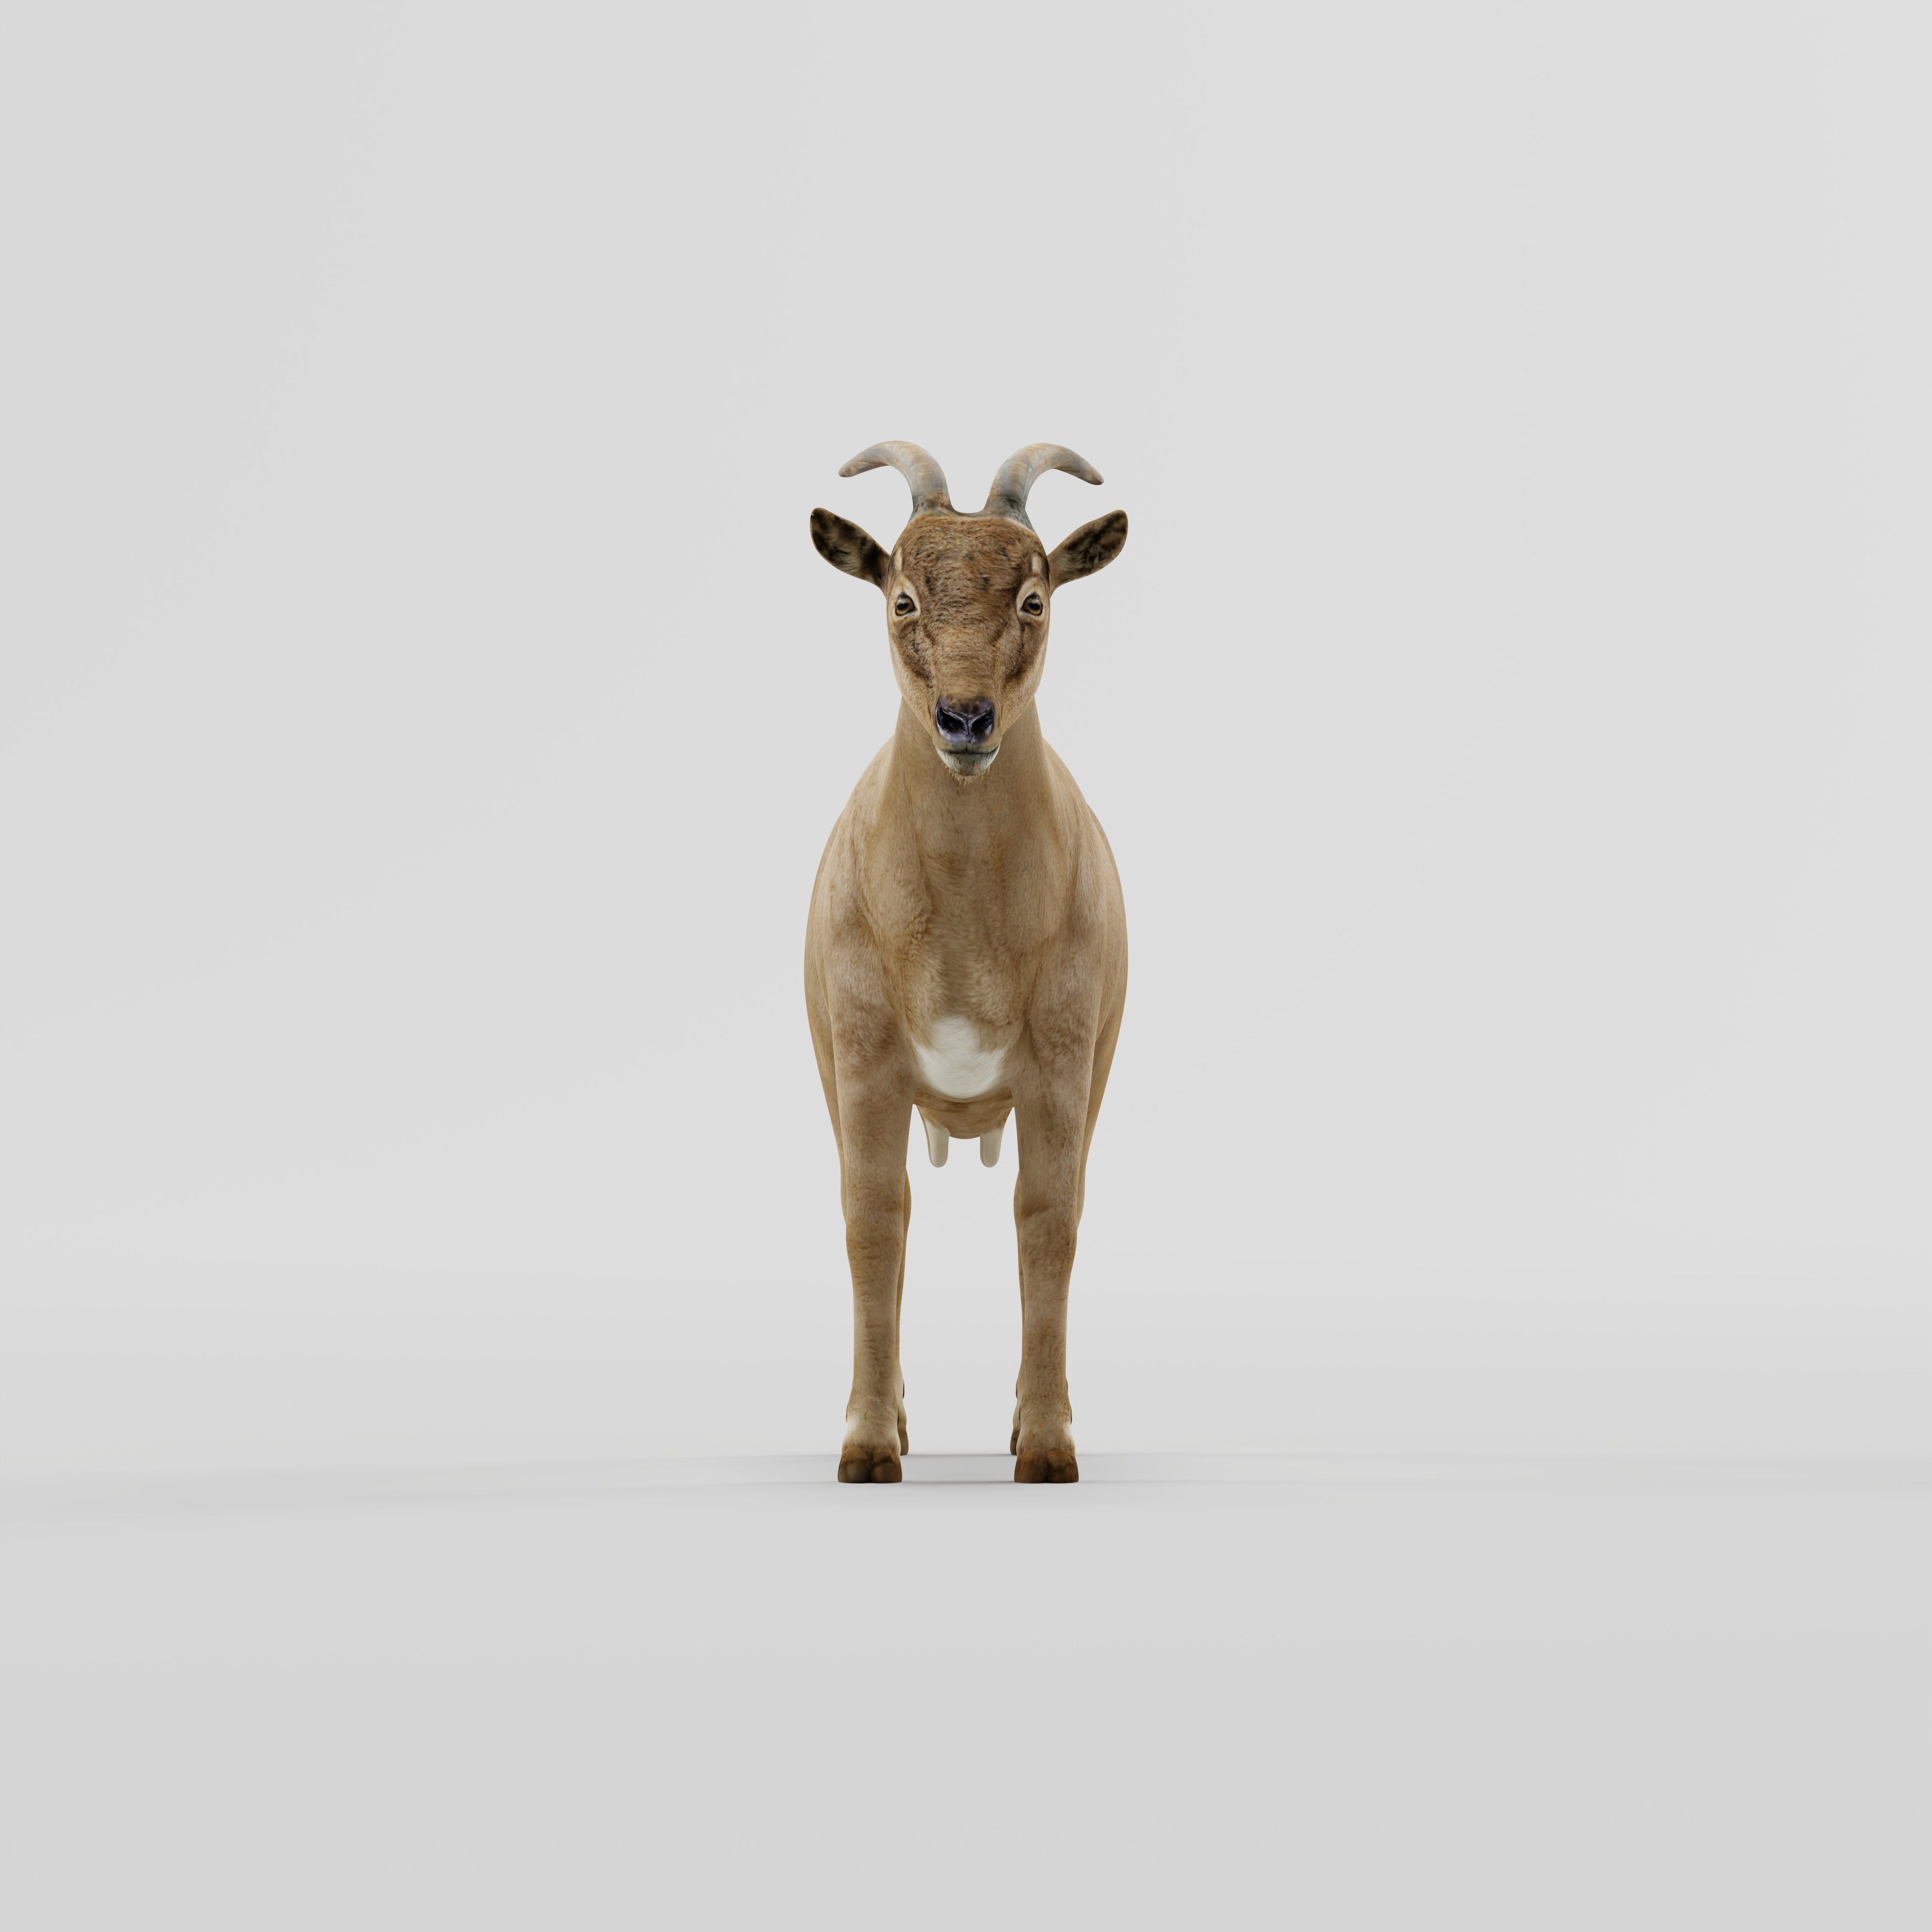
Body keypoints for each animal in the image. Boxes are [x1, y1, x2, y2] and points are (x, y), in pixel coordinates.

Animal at [806, 442, 1129, 1483]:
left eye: (1034, 597)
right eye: (902, 596)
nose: (964, 719)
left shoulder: (1064, 1060)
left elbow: (1048, 1216)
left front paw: (1047, 1444)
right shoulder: (861, 1058)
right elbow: (874, 1216)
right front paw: (869, 1443)